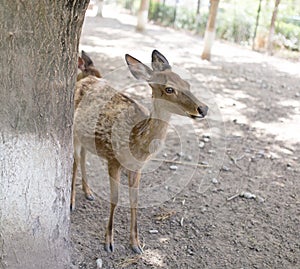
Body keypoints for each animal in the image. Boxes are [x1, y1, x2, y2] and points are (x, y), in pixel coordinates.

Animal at [72, 50, 209, 253]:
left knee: (83, 156)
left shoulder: (137, 167)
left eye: (187, 83)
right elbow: (115, 198)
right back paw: (71, 202)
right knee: (74, 160)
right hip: (73, 131)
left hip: (86, 138)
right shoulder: (113, 159)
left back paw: (88, 192)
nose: (203, 108)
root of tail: (84, 79)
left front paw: (136, 244)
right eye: (169, 89)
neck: (136, 141)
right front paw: (109, 242)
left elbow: (134, 200)